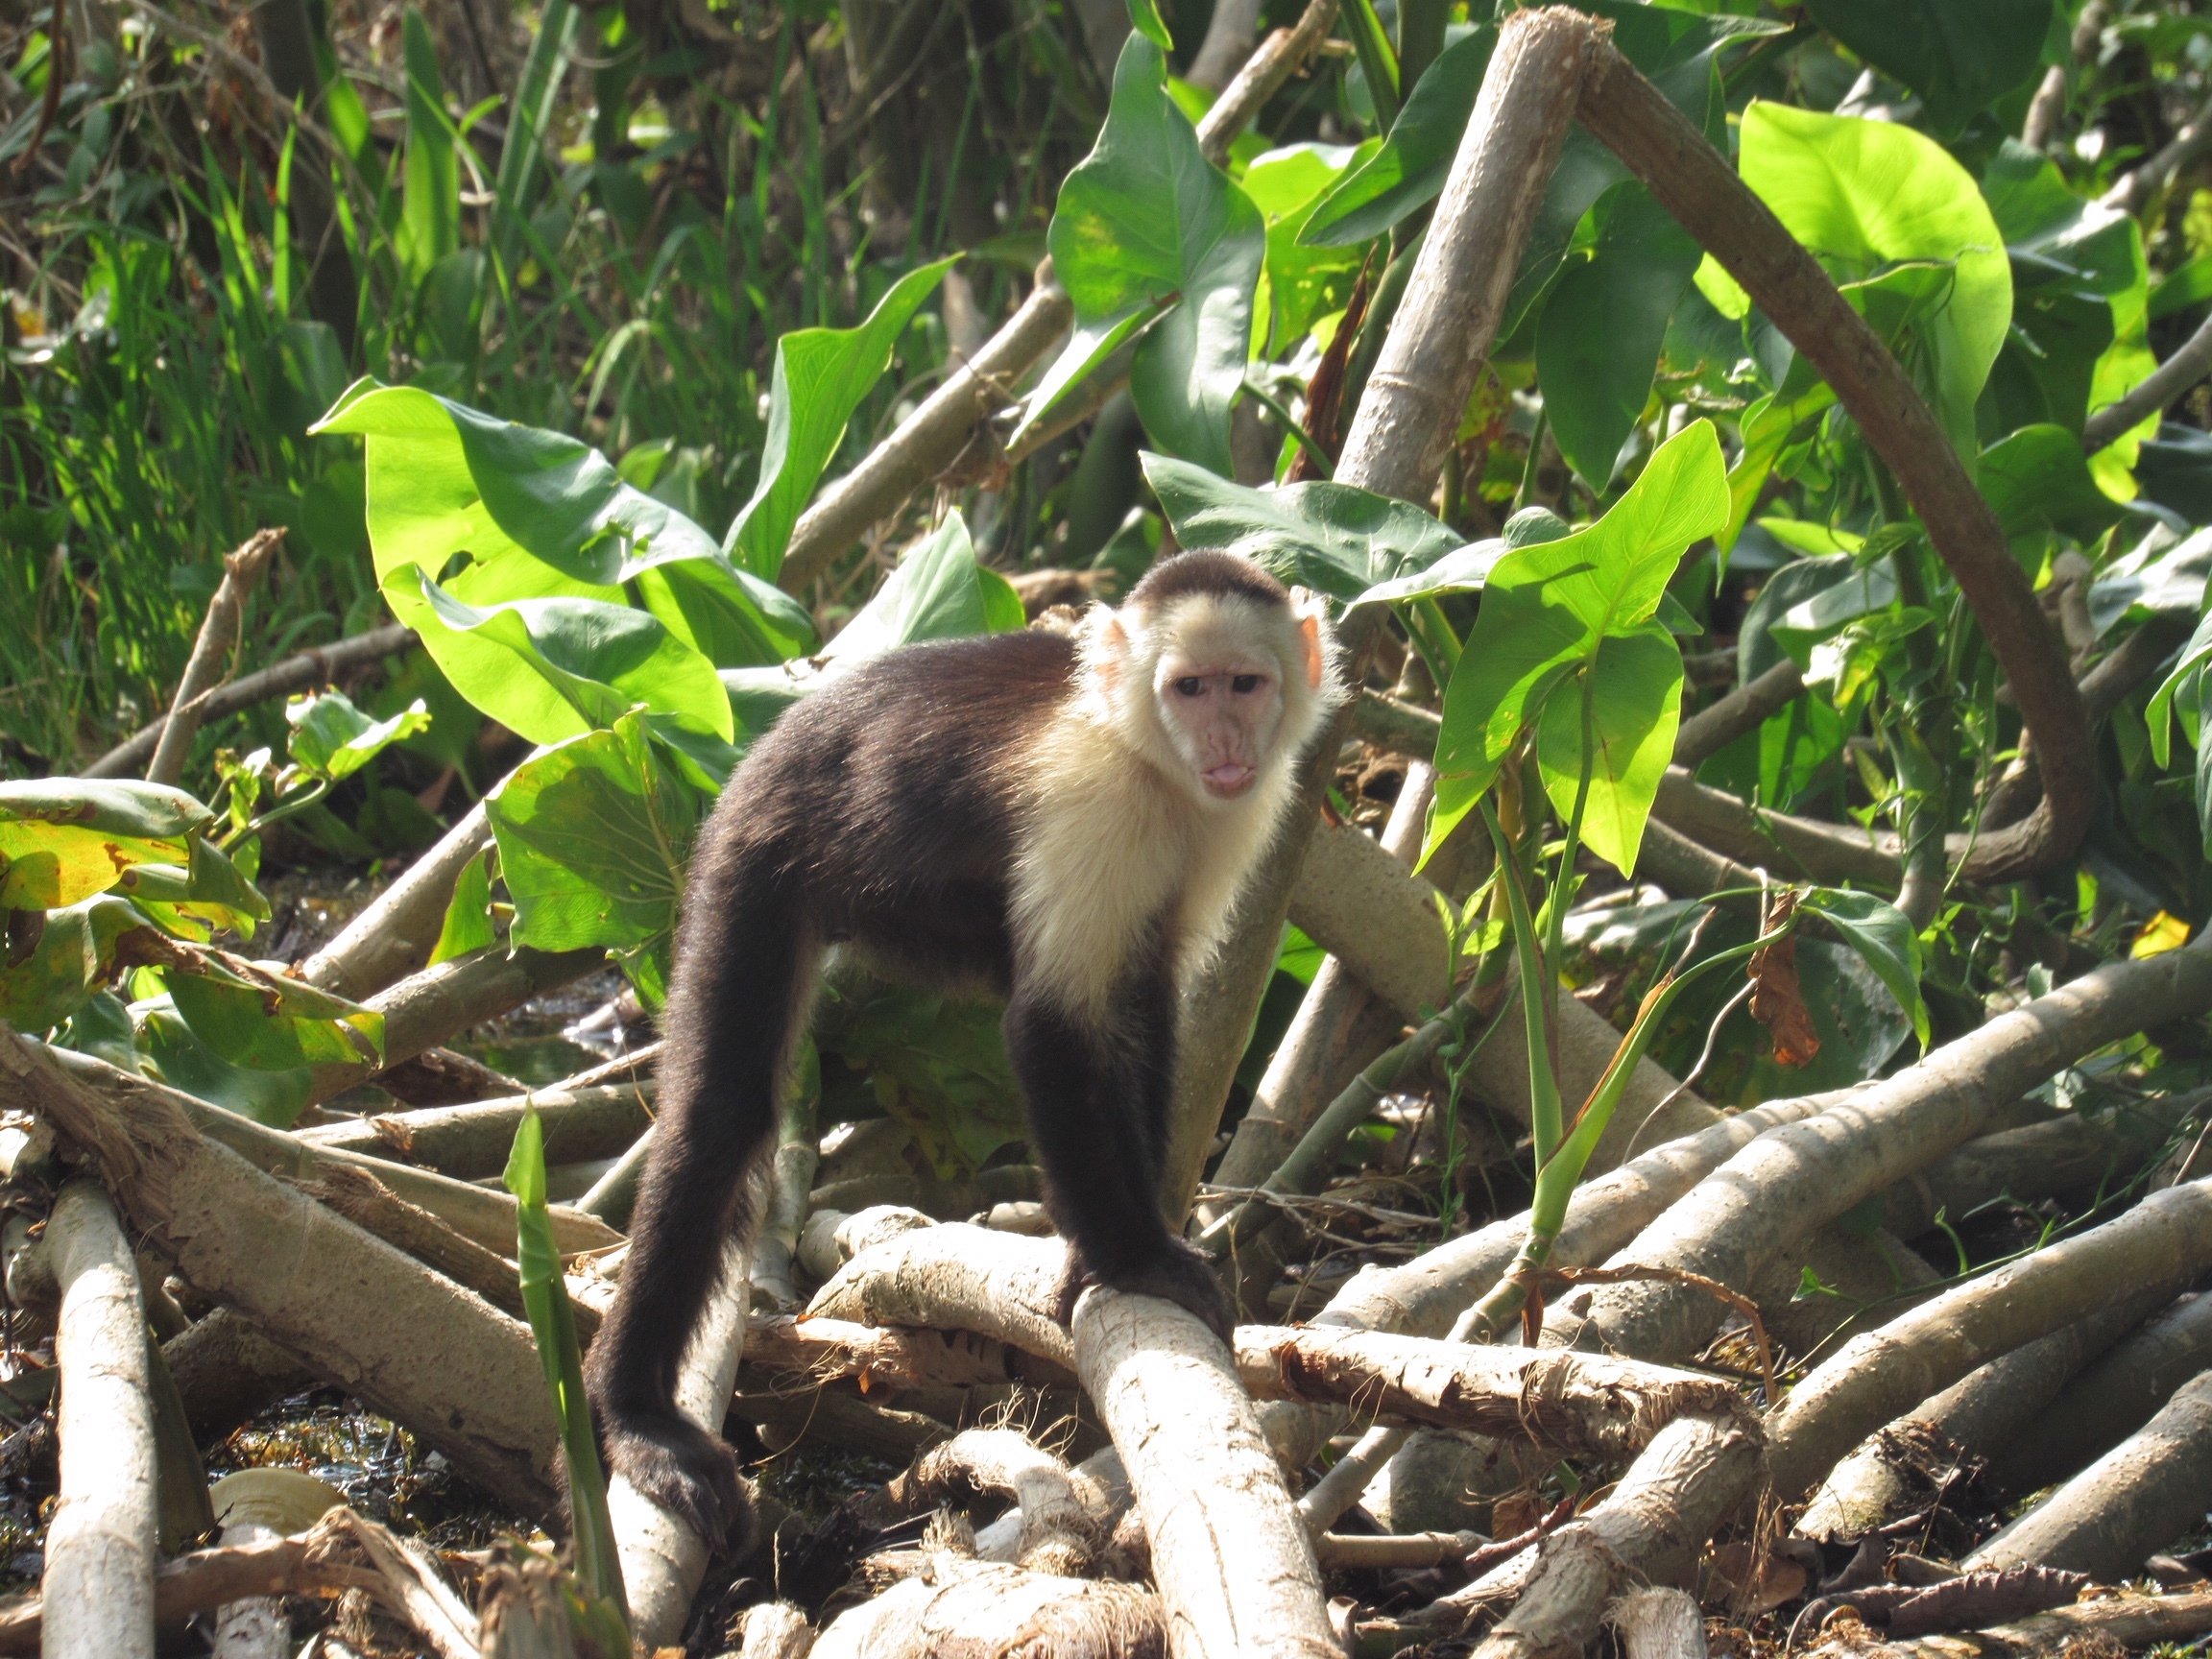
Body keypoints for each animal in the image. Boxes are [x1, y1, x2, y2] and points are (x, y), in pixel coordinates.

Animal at [583, 549, 1345, 1548]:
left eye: (1245, 685)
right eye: (1189, 688)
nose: (1223, 737)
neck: (1152, 760)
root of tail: (774, 734)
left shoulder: (1233, 819)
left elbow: (1142, 1008)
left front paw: (1106, 1246)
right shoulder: (1092, 799)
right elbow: (1052, 1026)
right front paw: (1134, 1256)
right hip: (751, 856)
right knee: (721, 1116)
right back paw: (635, 1414)